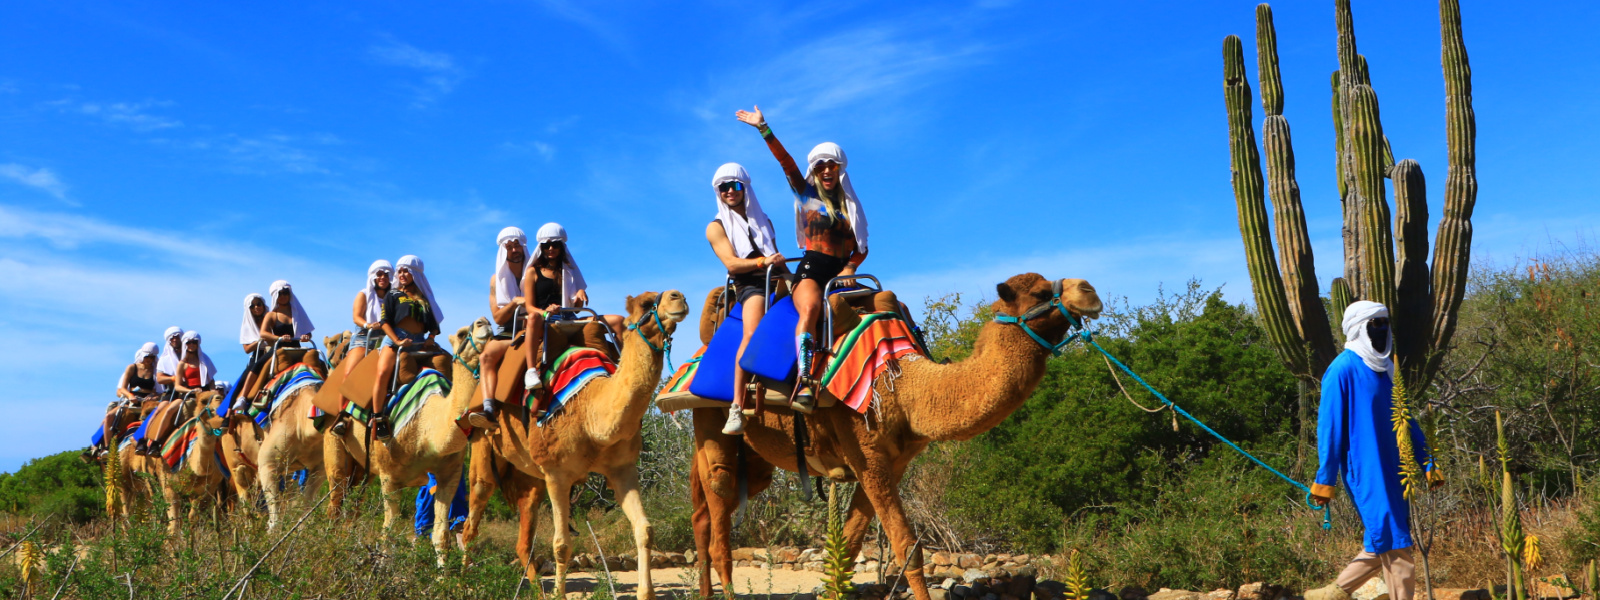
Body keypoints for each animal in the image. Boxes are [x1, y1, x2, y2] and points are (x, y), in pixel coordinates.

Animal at [329, 320, 492, 563]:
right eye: (463, 333)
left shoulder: (450, 475)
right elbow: (388, 532)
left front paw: (444, 574)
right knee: (335, 499)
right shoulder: (389, 478)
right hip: (335, 444)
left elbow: (440, 536)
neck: (427, 426)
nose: (485, 323)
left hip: (363, 468)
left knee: (353, 504)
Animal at [460, 289, 691, 598]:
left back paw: (535, 590)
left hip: (531, 477)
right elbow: (561, 544)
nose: (679, 297)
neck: (590, 415)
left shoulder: (622, 468)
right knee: (471, 522)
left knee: (523, 539)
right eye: (645, 303)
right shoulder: (558, 474)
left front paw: (646, 593)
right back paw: (458, 583)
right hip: (483, 449)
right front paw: (559, 593)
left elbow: (644, 529)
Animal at [681, 273, 1107, 600]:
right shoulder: (866, 452)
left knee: (704, 513)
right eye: (1039, 293)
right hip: (711, 419)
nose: (1089, 290)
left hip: (755, 463)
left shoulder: (893, 462)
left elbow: (848, 546)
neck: (904, 382)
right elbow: (907, 549)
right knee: (719, 511)